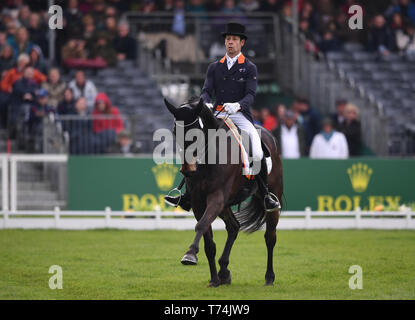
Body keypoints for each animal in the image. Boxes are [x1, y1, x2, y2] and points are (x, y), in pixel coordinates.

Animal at [164, 97, 284, 284]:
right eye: (175, 130)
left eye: (196, 132)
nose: (187, 169)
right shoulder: (199, 202)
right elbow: (208, 241)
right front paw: (214, 279)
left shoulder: (217, 197)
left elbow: (201, 225)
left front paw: (190, 255)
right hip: (226, 205)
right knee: (234, 227)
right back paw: (224, 272)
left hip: (270, 198)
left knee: (270, 237)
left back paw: (269, 277)